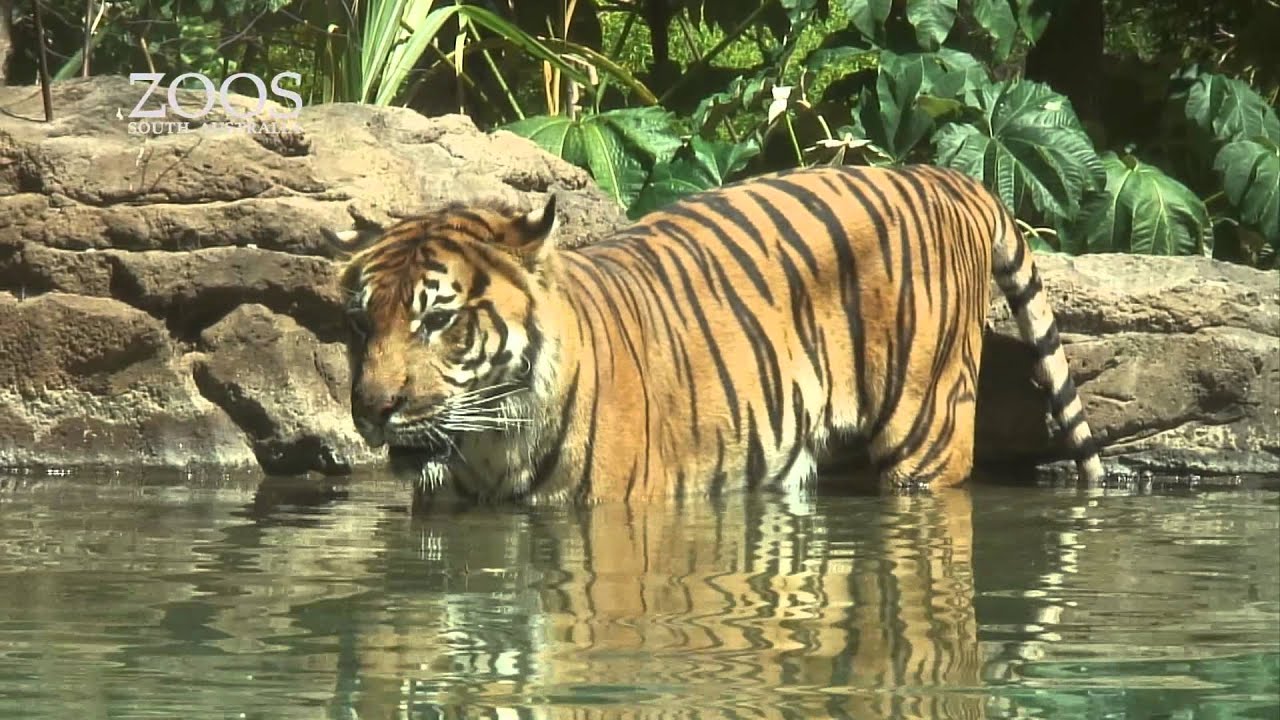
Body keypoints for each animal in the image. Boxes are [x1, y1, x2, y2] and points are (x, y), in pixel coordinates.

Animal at [323, 163, 1105, 504]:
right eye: (362, 322)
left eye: (437, 320)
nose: (372, 410)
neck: (491, 448)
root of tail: (946, 175)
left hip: (926, 433)